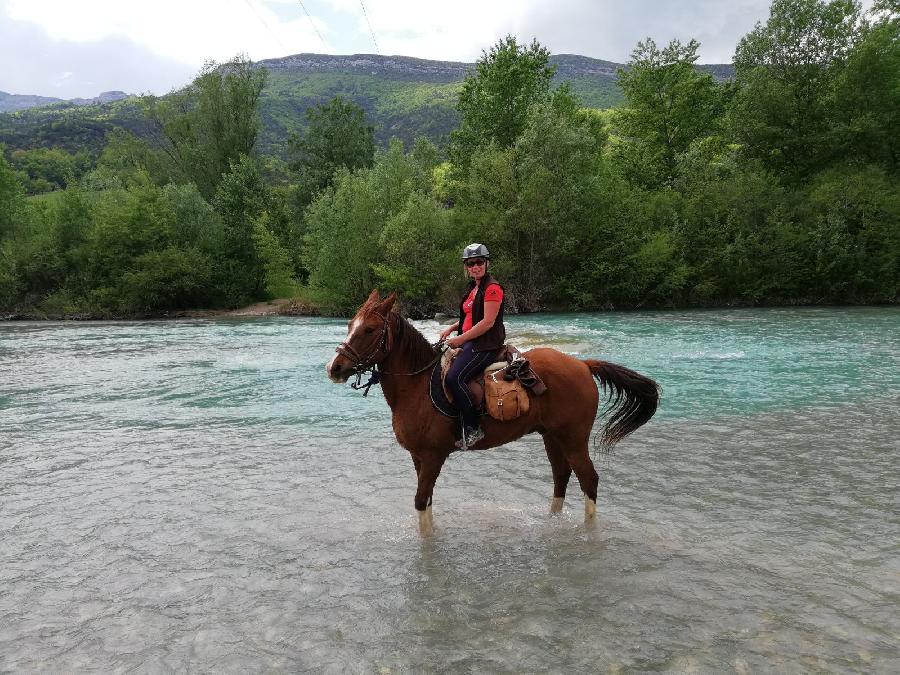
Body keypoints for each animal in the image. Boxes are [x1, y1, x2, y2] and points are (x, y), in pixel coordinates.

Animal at [326, 294, 656, 536]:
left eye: (369, 329)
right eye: (349, 325)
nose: (335, 368)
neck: (417, 386)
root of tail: (583, 365)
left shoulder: (432, 456)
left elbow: (421, 501)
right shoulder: (418, 457)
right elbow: (427, 502)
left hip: (574, 438)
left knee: (589, 480)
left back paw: (588, 531)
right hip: (552, 437)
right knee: (561, 477)